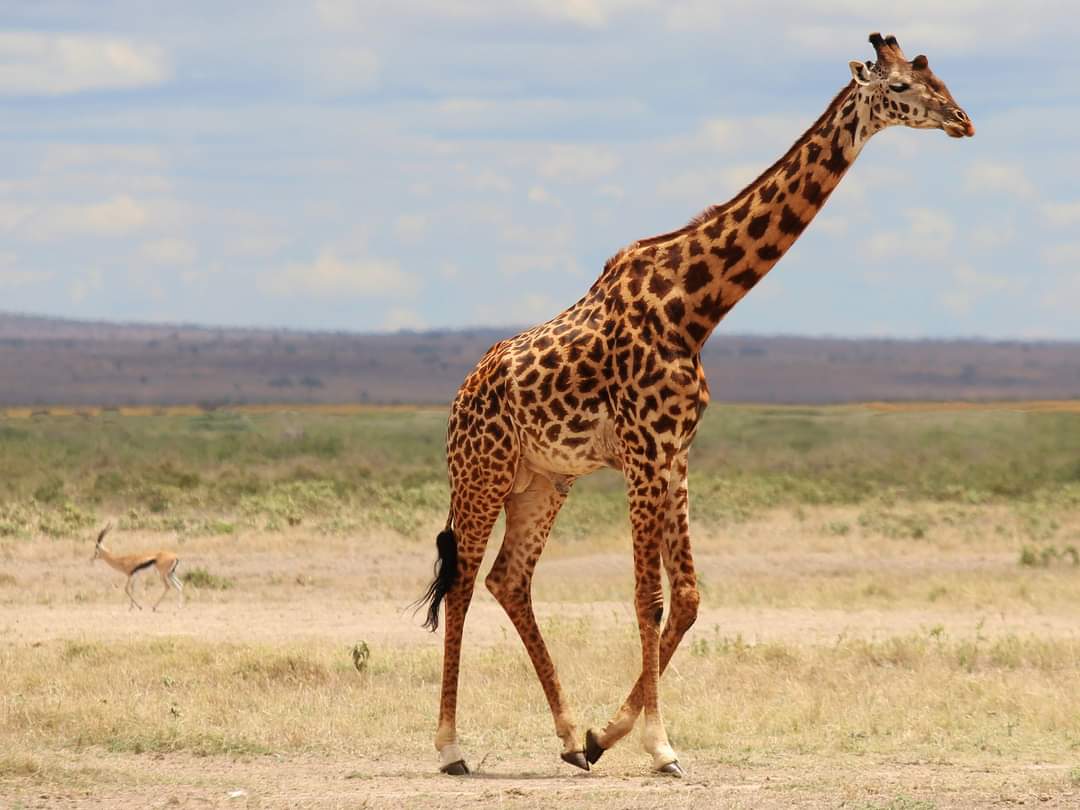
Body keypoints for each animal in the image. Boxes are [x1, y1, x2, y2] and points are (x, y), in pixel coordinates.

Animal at [416, 32, 974, 777]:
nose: (963, 121)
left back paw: (565, 737)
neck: (696, 306)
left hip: (544, 480)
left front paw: (603, 736)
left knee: (508, 579)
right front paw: (660, 746)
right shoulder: (644, 454)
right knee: (462, 582)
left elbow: (685, 596)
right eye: (904, 87)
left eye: (937, 76)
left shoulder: (675, 455)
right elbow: (646, 596)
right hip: (481, 472)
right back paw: (451, 747)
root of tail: (461, 395)